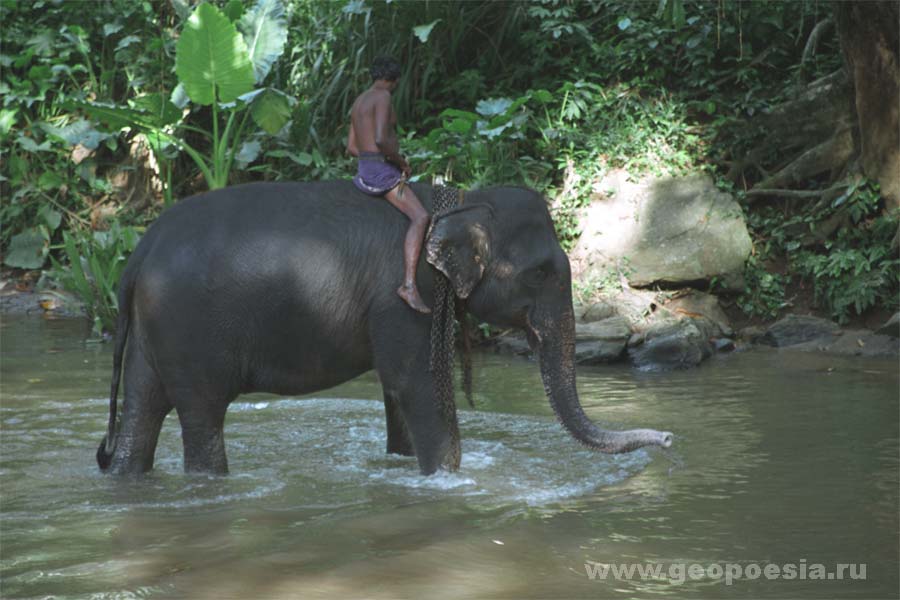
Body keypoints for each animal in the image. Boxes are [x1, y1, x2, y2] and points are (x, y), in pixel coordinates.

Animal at [96, 180, 676, 476]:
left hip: (155, 330)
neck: (458, 201)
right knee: (200, 414)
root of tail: (137, 254)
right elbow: (416, 383)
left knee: (143, 408)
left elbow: (398, 392)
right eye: (540, 273)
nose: (670, 438)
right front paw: (446, 479)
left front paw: (402, 463)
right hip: (189, 332)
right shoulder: (407, 293)